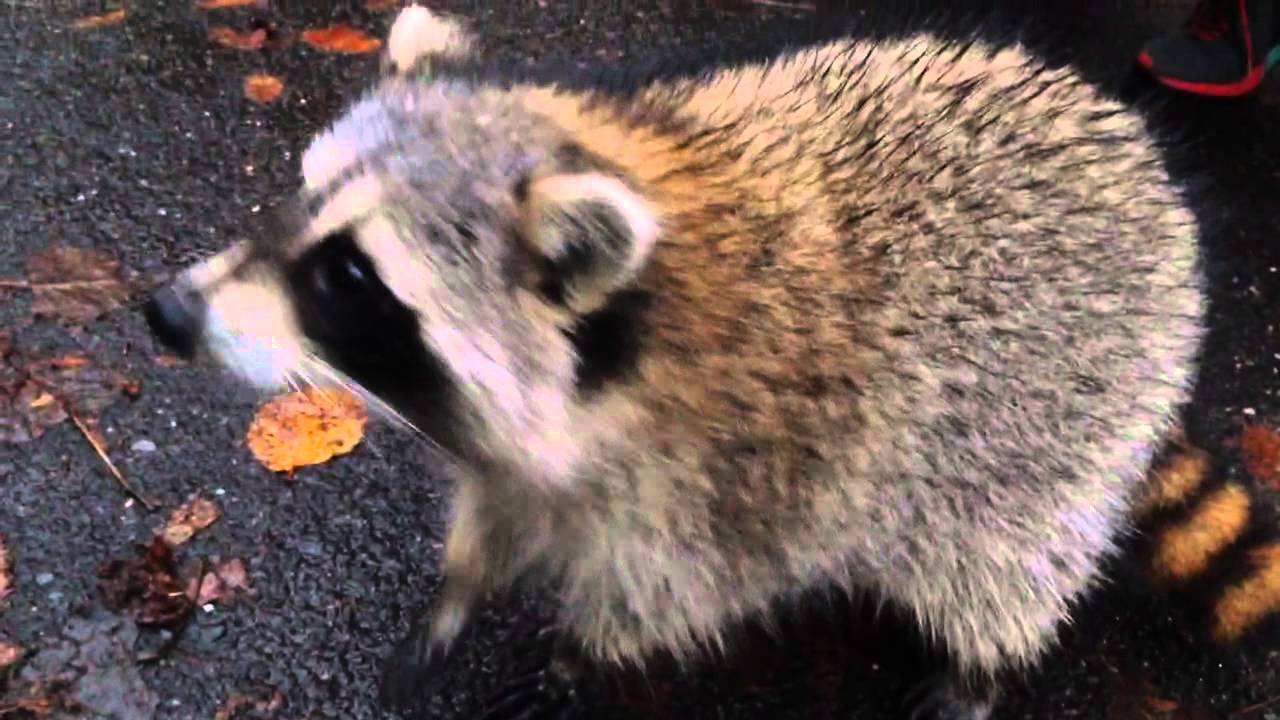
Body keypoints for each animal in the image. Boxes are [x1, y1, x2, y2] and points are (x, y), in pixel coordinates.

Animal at [142, 6, 1280, 719]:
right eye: (299, 197)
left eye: (347, 278)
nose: (165, 313)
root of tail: (1139, 159)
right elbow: (498, 506)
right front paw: (460, 587)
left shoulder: (752, 466)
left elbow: (681, 589)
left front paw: (580, 654)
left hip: (1067, 415)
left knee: (1005, 559)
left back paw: (985, 666)